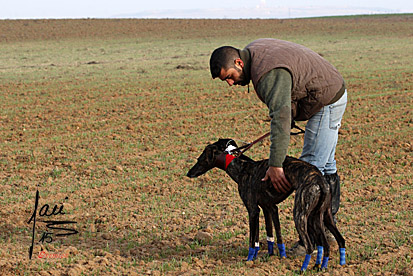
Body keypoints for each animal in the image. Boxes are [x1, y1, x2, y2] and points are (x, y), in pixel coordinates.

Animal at [187, 139, 344, 270]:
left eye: (200, 159)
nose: (188, 173)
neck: (241, 168)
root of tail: (320, 180)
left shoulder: (253, 210)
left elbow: (253, 239)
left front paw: (250, 259)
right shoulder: (270, 208)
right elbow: (273, 235)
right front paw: (274, 255)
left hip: (300, 215)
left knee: (311, 246)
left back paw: (303, 269)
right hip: (322, 216)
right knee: (336, 241)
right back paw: (325, 266)